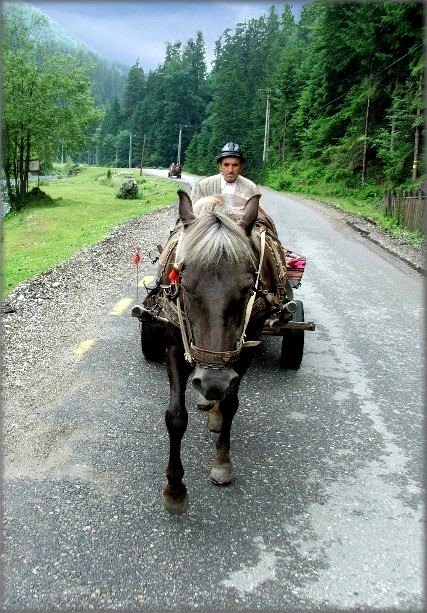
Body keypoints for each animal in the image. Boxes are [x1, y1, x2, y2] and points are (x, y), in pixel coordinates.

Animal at [155, 190, 292, 512]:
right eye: (185, 285)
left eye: (247, 288)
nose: (212, 380)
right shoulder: (173, 342)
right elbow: (175, 416)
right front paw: (174, 488)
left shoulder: (244, 350)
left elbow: (230, 403)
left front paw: (221, 462)